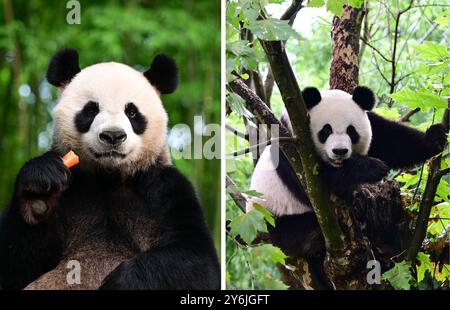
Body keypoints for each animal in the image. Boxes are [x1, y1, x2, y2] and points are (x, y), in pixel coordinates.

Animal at [0, 47, 220, 290]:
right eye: (90, 110)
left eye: (132, 112)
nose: (113, 136)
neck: (108, 177)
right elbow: (15, 266)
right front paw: (39, 193)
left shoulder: (164, 187)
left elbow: (198, 263)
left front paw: (122, 280)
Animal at [248, 85, 448, 288]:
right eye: (325, 131)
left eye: (351, 131)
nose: (340, 151)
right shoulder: (291, 148)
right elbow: (316, 184)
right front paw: (371, 168)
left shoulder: (373, 125)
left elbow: (392, 141)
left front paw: (435, 138)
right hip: (276, 220)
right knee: (301, 230)